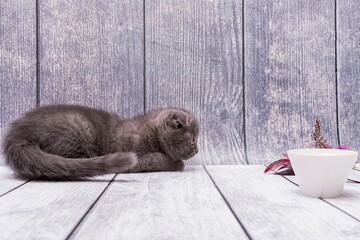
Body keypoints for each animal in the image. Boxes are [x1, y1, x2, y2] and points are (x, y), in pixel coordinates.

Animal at [2, 105, 200, 180]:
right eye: (192, 140)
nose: (197, 150)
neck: (150, 132)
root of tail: (18, 135)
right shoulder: (132, 154)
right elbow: (157, 158)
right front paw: (176, 163)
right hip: (78, 128)